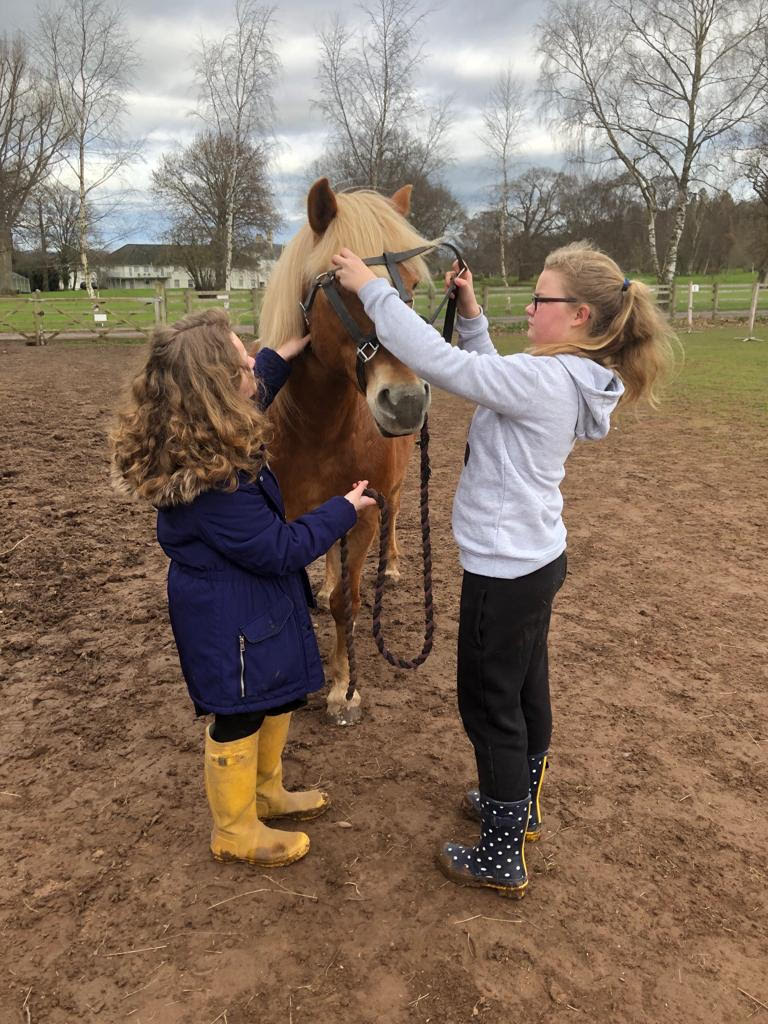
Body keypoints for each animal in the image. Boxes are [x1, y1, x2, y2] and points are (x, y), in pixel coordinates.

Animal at [258, 177, 434, 724]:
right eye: (343, 287)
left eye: (412, 287)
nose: (406, 401)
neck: (319, 428)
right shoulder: (289, 515)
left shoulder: (366, 511)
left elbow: (348, 603)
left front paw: (343, 689)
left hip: (394, 490)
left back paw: (392, 566)